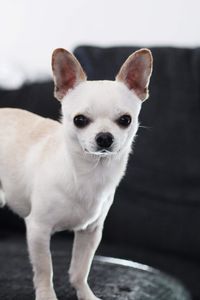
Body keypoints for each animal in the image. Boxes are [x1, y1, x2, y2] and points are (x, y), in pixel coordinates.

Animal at [0, 48, 152, 300]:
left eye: (125, 120)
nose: (104, 137)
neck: (88, 173)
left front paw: (86, 295)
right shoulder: (38, 230)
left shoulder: (90, 232)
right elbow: (45, 270)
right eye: (79, 120)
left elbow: (80, 270)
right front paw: (46, 296)